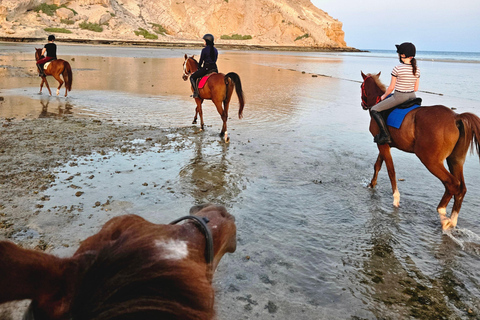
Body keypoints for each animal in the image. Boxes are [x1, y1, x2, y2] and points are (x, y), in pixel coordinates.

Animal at [360, 72, 480, 230]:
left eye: (361, 86)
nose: (363, 104)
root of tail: (456, 117)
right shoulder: (384, 144)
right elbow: (378, 165)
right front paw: (372, 184)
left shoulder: (383, 145)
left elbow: (391, 171)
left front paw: (396, 198)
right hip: (455, 160)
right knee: (462, 188)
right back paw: (452, 220)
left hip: (430, 160)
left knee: (452, 184)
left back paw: (442, 212)